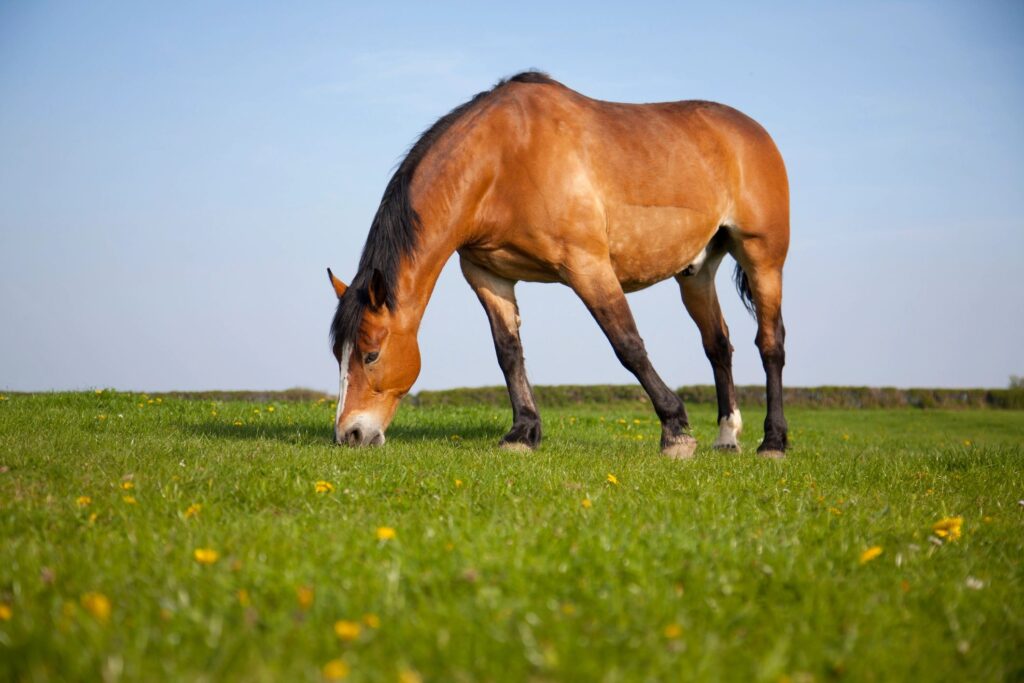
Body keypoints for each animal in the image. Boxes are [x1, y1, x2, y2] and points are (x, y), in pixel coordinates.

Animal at [327, 71, 789, 459]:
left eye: (370, 354)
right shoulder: (489, 276)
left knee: (770, 343)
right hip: (696, 272)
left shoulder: (587, 265)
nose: (350, 434)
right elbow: (508, 353)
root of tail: (753, 132)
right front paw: (522, 432)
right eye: (337, 354)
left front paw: (675, 431)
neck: (502, 161)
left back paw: (773, 442)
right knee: (718, 345)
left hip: (763, 259)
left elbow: (628, 344)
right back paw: (727, 437)